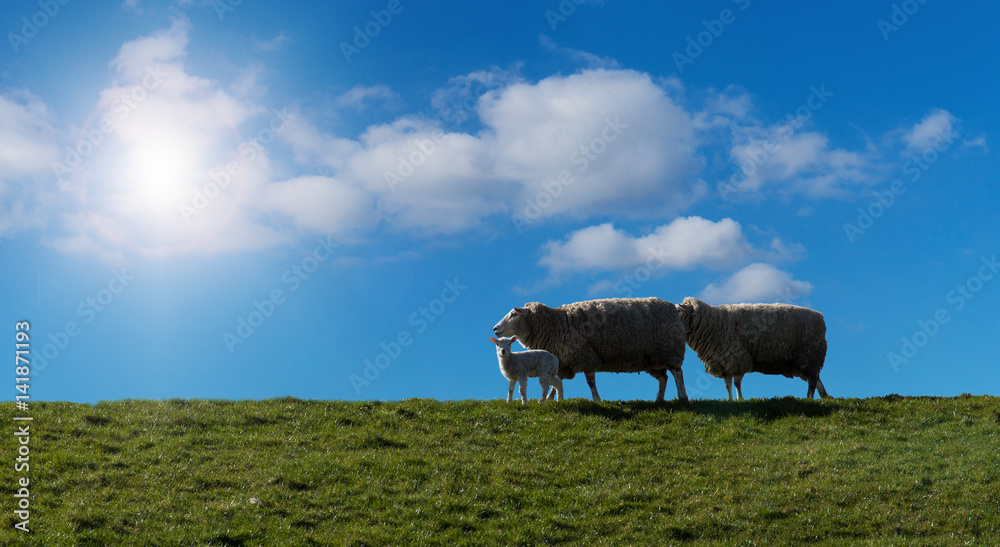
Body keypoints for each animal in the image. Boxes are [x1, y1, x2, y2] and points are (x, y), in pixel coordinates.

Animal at [492, 297, 687, 402]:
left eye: (513, 314)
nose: (495, 328)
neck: (555, 324)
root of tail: (674, 307)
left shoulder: (585, 356)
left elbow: (590, 382)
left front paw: (597, 399)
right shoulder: (565, 362)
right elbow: (556, 384)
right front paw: (550, 399)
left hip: (670, 350)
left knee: (677, 374)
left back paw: (683, 397)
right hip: (653, 359)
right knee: (664, 377)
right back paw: (659, 399)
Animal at [676, 297, 829, 400]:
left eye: (678, 311)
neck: (714, 322)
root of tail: (821, 318)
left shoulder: (737, 358)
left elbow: (736, 383)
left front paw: (739, 399)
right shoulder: (724, 361)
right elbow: (728, 384)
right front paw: (730, 400)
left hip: (809, 356)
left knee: (812, 380)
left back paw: (809, 398)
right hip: (803, 362)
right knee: (816, 378)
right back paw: (824, 396)